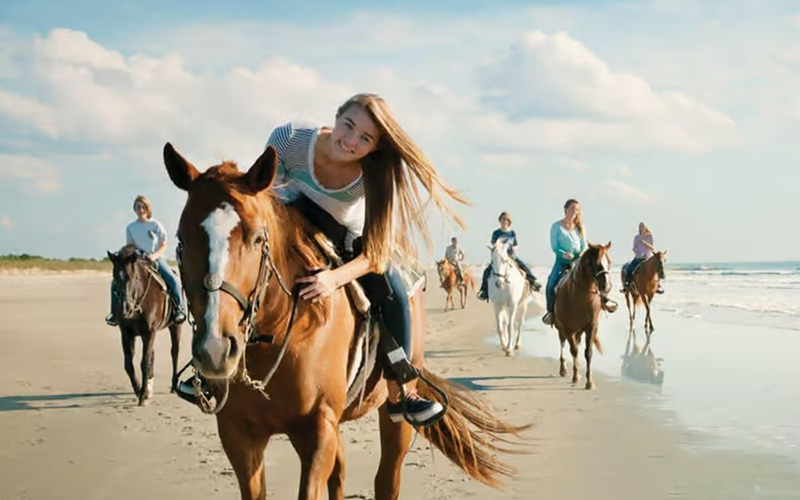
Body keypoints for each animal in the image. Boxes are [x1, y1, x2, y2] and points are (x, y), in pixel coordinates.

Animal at [107, 244, 182, 406]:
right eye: (115, 277)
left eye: (134, 277)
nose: (126, 308)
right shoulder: (126, 333)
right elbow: (129, 364)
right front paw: (139, 390)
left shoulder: (150, 332)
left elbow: (144, 362)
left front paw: (142, 395)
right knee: (152, 355)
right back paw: (149, 388)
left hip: (175, 326)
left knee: (174, 352)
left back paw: (173, 385)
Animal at [162, 143, 526, 500]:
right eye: (181, 240)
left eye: (256, 239)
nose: (215, 349)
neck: (276, 334)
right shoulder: (238, 434)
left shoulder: (318, 427)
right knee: (340, 475)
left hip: (395, 416)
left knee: (387, 479)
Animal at [552, 242, 612, 390]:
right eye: (598, 264)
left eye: (609, 262)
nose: (607, 287)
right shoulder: (567, 328)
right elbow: (573, 350)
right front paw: (575, 376)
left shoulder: (591, 326)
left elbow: (587, 352)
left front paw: (590, 382)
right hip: (562, 328)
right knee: (563, 343)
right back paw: (564, 369)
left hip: (578, 331)